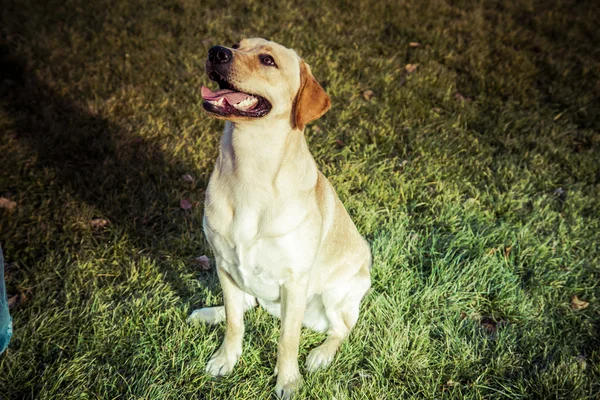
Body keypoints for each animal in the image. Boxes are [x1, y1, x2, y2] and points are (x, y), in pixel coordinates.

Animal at [190, 38, 372, 396]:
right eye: (237, 44)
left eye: (267, 60)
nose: (216, 51)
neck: (249, 165)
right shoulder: (224, 265)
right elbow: (235, 322)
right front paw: (226, 358)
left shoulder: (294, 282)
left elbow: (288, 339)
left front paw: (288, 380)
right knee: (246, 306)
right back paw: (208, 313)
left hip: (335, 295)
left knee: (341, 329)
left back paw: (321, 355)